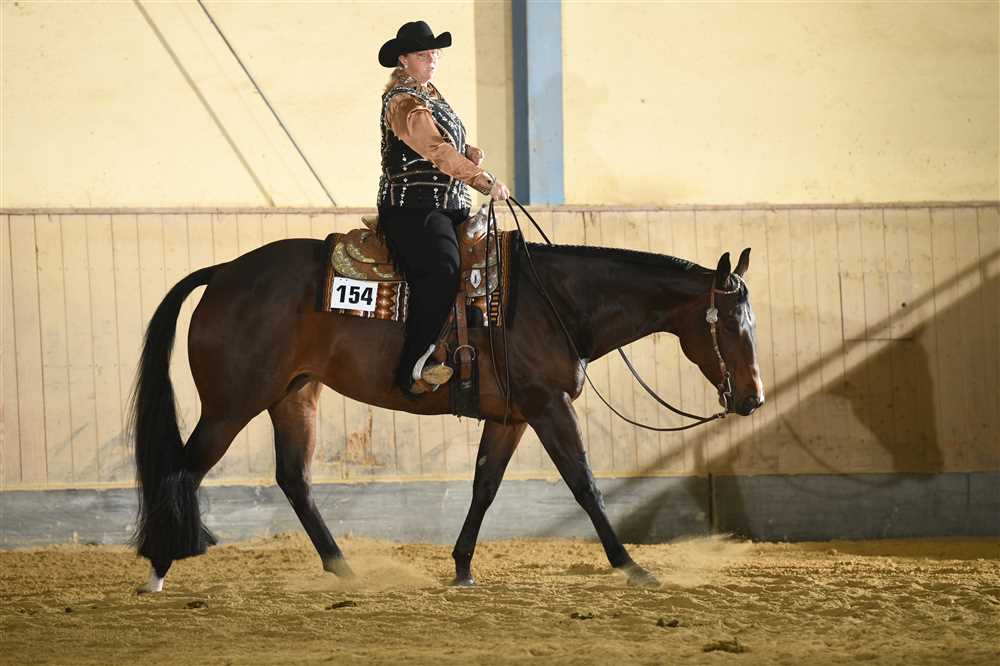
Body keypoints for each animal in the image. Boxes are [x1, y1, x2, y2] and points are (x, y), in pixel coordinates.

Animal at [130, 225, 764, 593]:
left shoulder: (512, 417)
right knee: (183, 471)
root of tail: (224, 273)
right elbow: (584, 484)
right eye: (732, 325)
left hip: (295, 397)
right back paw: (158, 569)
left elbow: (485, 485)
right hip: (229, 406)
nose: (753, 397)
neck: (551, 303)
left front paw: (462, 567)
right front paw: (633, 566)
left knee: (294, 480)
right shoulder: (548, 405)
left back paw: (344, 570)